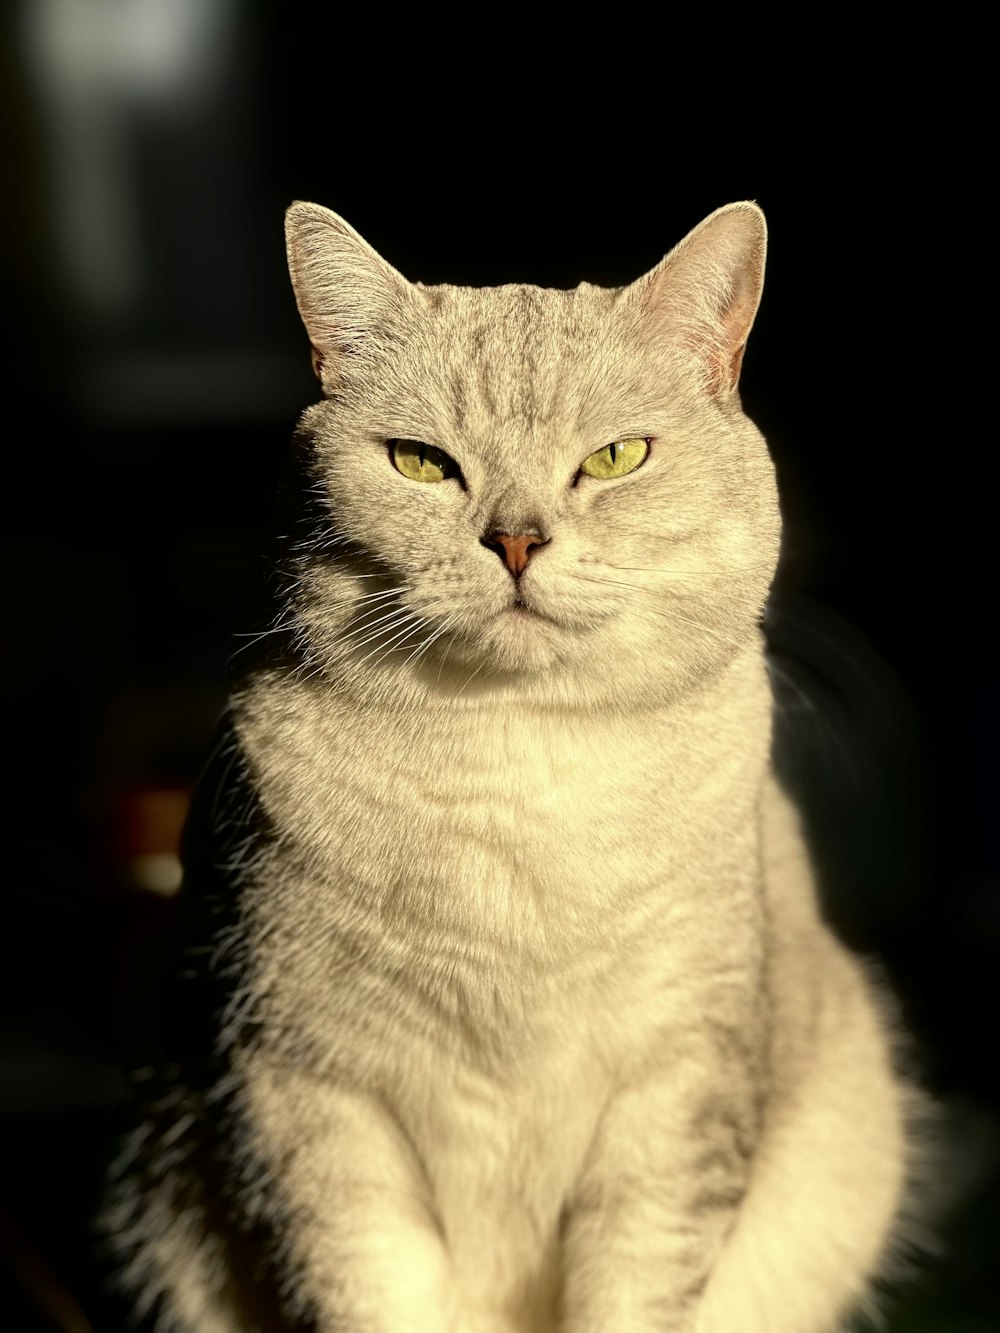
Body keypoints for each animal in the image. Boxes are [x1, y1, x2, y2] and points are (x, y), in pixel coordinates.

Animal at [106, 199, 928, 1333]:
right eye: (420, 463)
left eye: (616, 457)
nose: (517, 540)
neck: (519, 774)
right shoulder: (305, 1088)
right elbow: (362, 1290)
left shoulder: (679, 1089)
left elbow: (634, 1291)